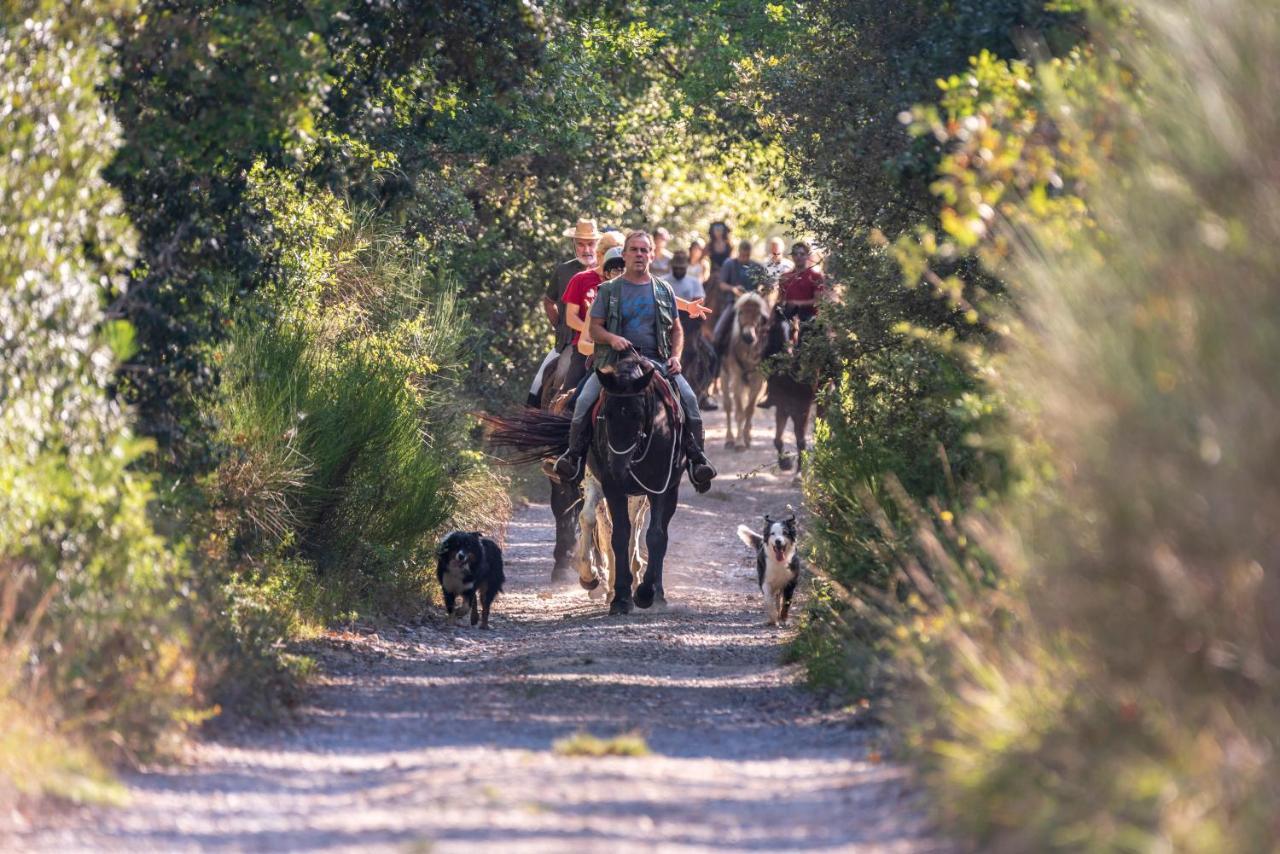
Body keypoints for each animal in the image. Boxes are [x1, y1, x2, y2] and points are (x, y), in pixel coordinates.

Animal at [721, 294, 768, 450]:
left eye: (759, 315)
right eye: (740, 313)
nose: (748, 337)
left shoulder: (758, 380)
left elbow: (750, 410)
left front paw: (747, 437)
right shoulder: (736, 378)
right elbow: (740, 412)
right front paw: (739, 442)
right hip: (724, 374)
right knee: (728, 406)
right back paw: (729, 438)